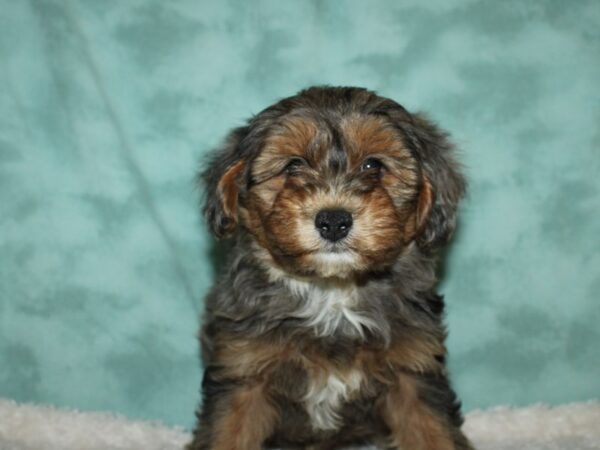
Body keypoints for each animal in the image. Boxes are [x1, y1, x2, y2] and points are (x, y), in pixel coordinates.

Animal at [189, 86, 474, 448]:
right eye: (293, 166)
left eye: (373, 165)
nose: (334, 221)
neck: (332, 292)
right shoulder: (243, 371)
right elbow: (227, 433)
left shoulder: (415, 369)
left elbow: (433, 432)